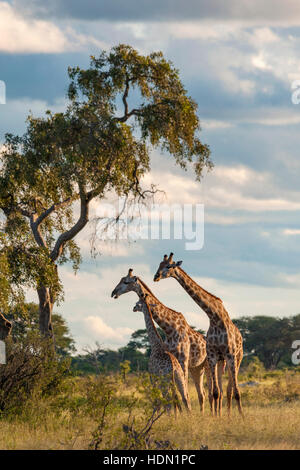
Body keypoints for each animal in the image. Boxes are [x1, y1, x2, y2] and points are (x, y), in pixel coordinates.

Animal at [110, 270, 213, 414]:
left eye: (126, 281)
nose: (113, 292)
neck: (168, 327)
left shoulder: (182, 360)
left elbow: (181, 394)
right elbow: (176, 396)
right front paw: (179, 414)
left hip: (207, 365)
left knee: (212, 392)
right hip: (196, 368)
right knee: (201, 393)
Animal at [155, 253, 244, 418]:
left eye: (169, 266)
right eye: (159, 265)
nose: (156, 276)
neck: (215, 317)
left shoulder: (229, 354)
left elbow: (234, 391)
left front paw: (241, 417)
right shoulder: (213, 356)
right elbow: (215, 392)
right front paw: (216, 417)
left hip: (237, 358)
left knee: (231, 389)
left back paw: (233, 414)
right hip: (221, 361)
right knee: (223, 390)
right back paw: (225, 414)